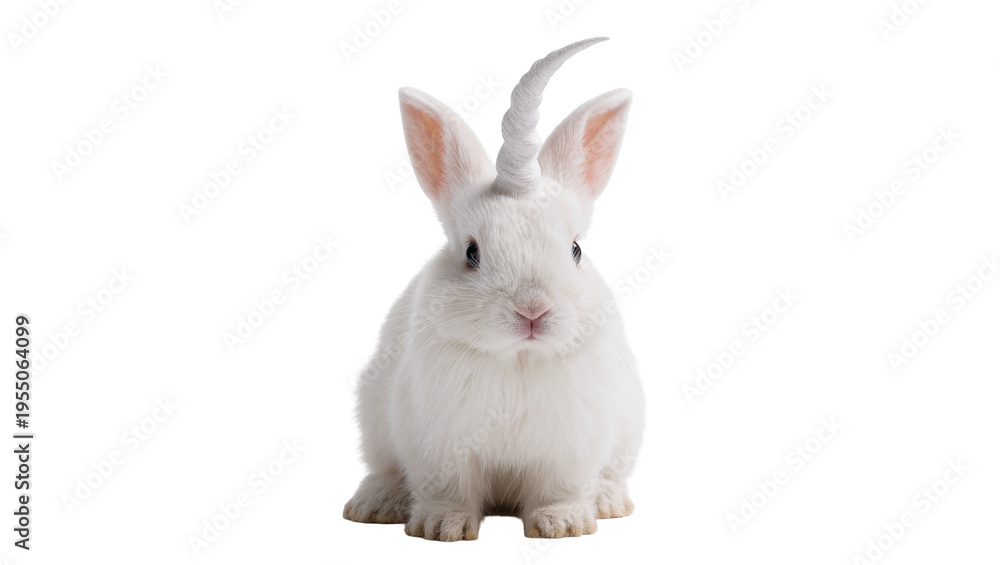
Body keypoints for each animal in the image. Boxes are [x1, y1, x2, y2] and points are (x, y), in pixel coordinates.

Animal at [343, 37, 645, 541]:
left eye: (576, 249)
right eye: (472, 252)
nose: (532, 310)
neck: (518, 358)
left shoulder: (568, 449)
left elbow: (559, 488)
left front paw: (562, 525)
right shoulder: (440, 446)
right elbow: (448, 490)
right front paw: (441, 527)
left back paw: (607, 502)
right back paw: (375, 505)